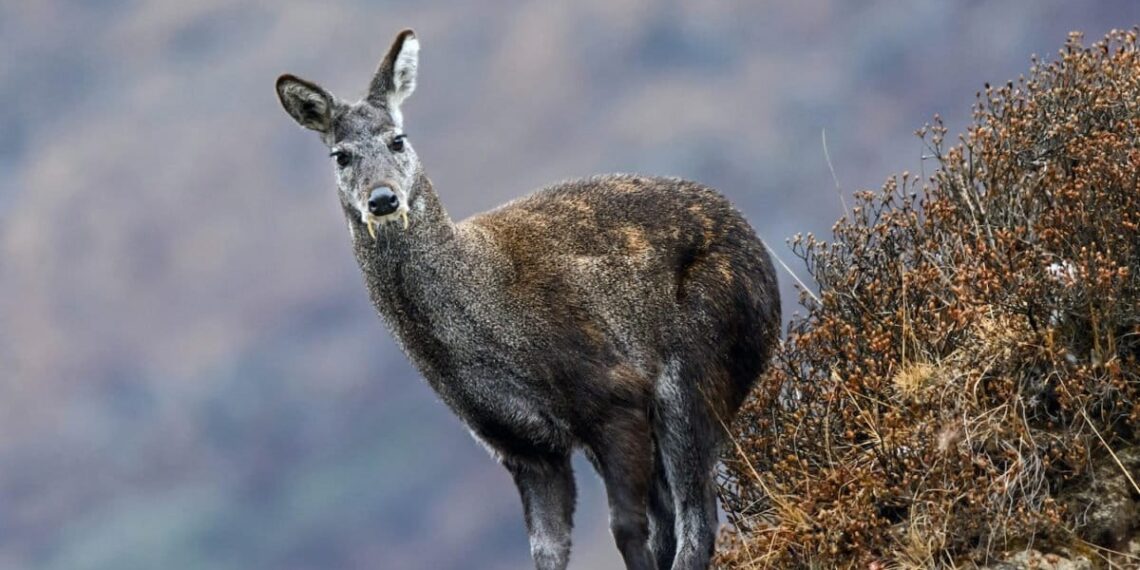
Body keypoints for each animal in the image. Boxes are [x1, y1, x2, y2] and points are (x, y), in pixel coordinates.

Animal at [275, 29, 780, 570]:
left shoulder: (612, 391)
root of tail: (762, 258)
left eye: (398, 139)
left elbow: (627, 527)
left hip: (697, 366)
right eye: (340, 155)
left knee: (696, 519)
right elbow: (547, 550)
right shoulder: (523, 447)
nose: (383, 199)